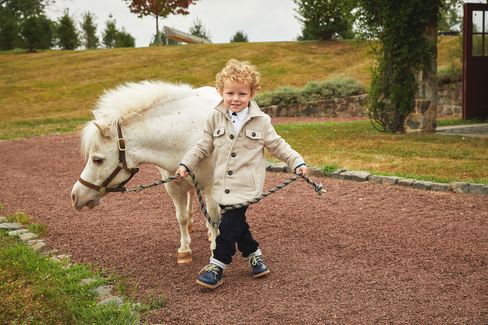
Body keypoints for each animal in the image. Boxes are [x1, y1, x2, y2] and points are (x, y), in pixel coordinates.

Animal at [70, 79, 221, 262]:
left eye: (97, 160)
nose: (75, 196)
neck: (187, 137)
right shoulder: (173, 186)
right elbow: (182, 217)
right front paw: (184, 250)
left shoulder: (211, 188)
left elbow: (213, 217)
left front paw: (215, 249)